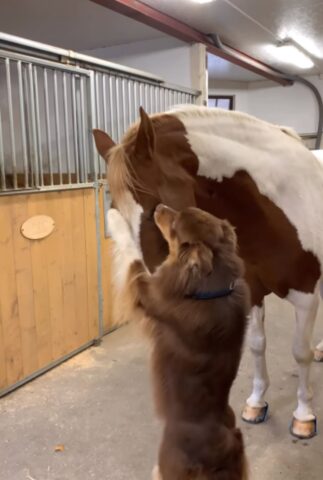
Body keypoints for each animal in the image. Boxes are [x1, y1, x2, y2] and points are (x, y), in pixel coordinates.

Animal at [93, 106, 323, 438]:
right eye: (114, 213)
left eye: (153, 209)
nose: (149, 303)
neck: (281, 204)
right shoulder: (253, 290)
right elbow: (257, 345)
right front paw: (256, 402)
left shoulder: (306, 294)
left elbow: (299, 352)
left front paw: (304, 415)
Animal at [108, 205, 251, 480]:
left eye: (174, 226)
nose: (157, 208)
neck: (213, 287)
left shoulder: (147, 291)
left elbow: (132, 252)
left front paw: (115, 216)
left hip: (165, 465)